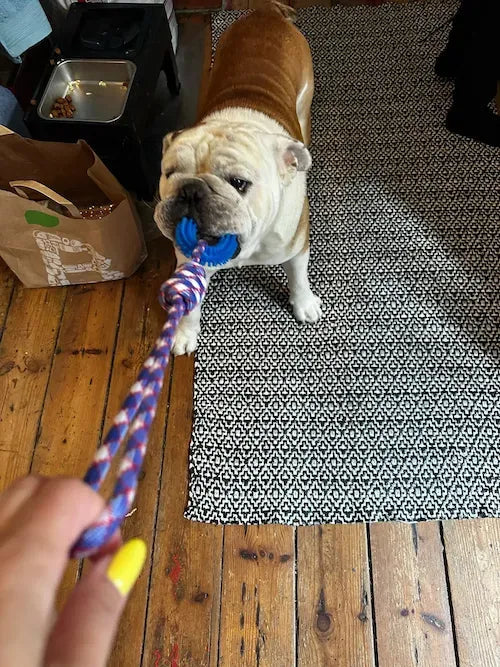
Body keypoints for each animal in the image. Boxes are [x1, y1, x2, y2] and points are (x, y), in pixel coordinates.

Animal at [154, 1, 321, 356]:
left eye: (239, 183)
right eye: (170, 174)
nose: (191, 191)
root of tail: (267, 12)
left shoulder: (297, 244)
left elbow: (299, 276)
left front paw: (304, 304)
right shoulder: (189, 261)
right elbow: (189, 306)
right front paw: (183, 334)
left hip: (304, 100)